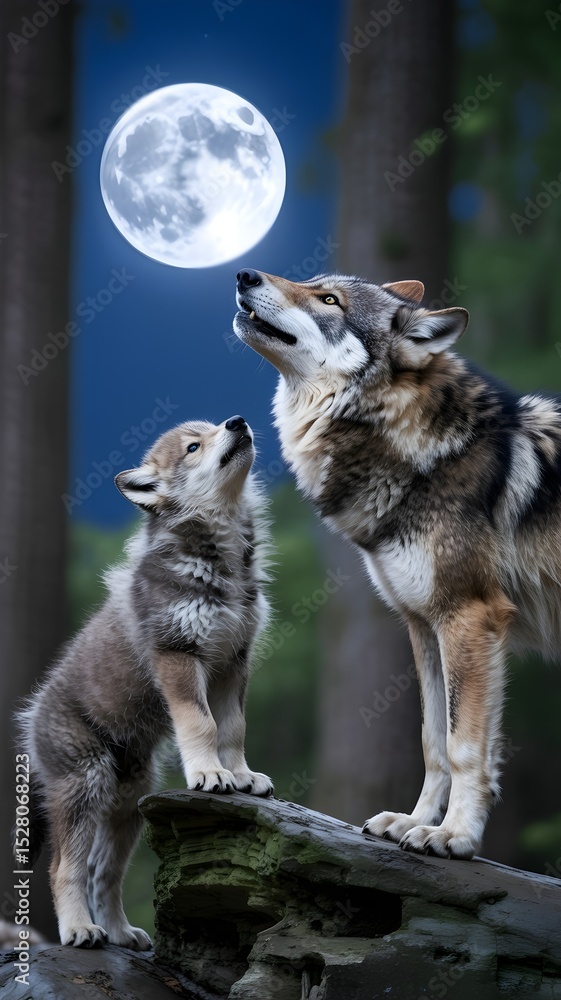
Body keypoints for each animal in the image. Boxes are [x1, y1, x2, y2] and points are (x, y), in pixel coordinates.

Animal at [18, 415, 273, 949]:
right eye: (194, 446)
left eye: (215, 424)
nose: (238, 420)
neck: (220, 562)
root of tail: (30, 717)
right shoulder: (178, 657)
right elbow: (200, 724)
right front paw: (209, 775)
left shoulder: (233, 662)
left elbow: (232, 728)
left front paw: (241, 775)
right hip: (86, 785)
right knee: (64, 868)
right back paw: (80, 930)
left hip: (129, 802)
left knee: (104, 873)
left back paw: (119, 932)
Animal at [234, 267, 561, 861]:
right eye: (313, 282)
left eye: (329, 300)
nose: (245, 274)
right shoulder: (424, 624)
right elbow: (434, 742)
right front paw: (415, 823)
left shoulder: (469, 617)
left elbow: (464, 745)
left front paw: (454, 837)